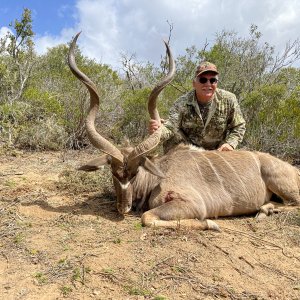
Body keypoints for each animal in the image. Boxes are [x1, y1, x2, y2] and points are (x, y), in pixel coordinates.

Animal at [68, 32, 300, 230]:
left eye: (134, 173)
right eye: (114, 174)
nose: (123, 207)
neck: (157, 176)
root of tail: (293, 169)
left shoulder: (194, 204)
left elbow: (147, 217)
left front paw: (210, 224)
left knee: (293, 203)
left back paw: (263, 211)